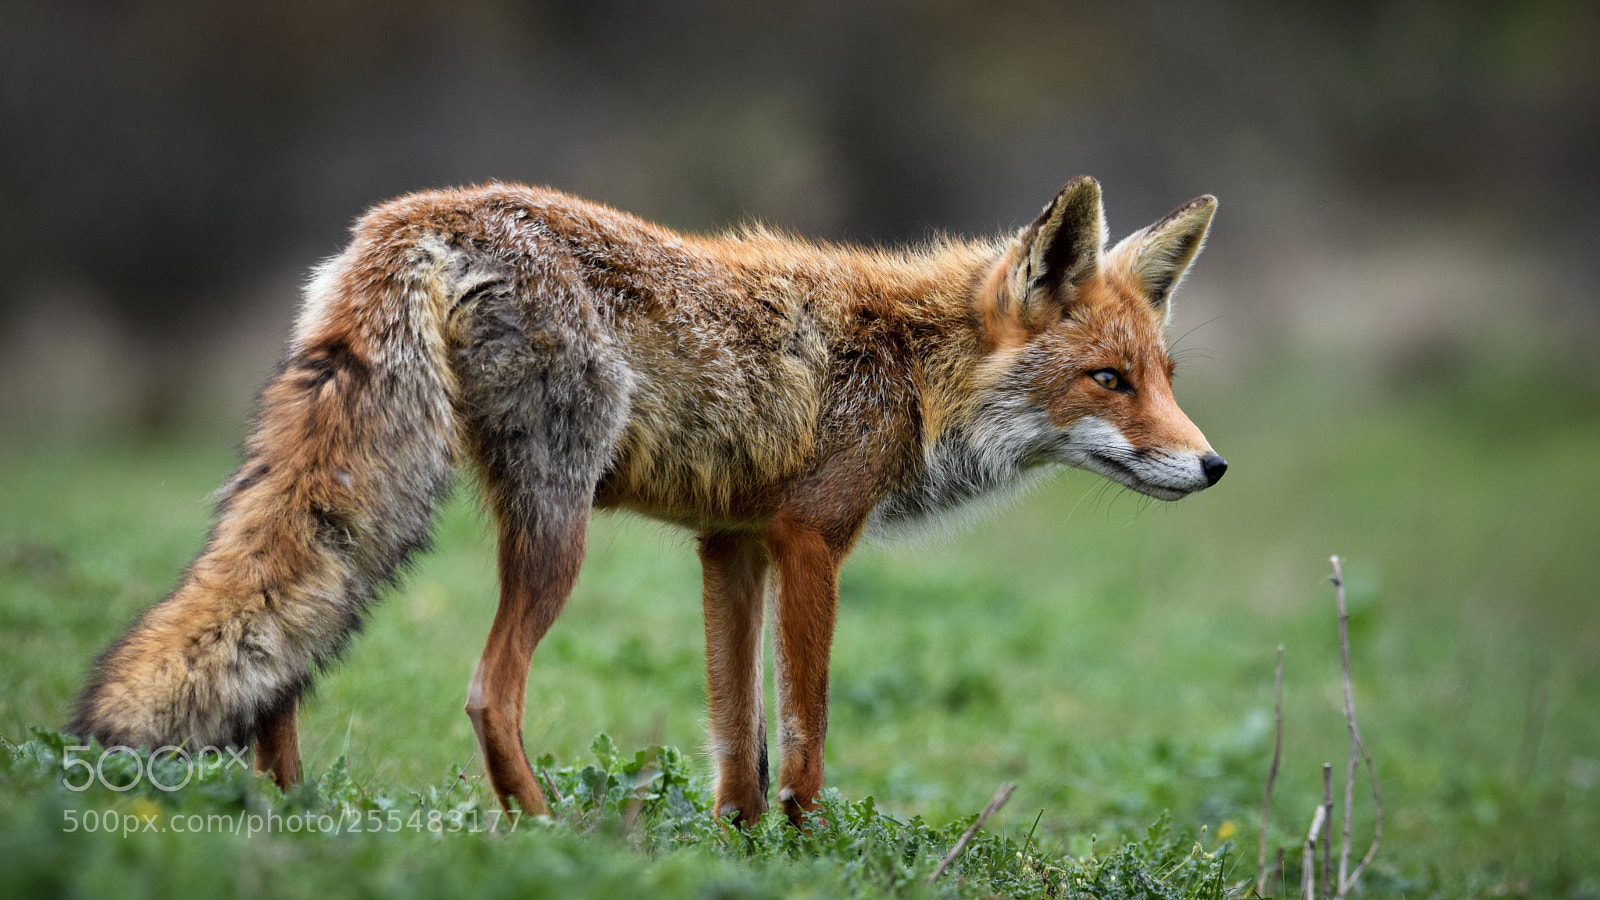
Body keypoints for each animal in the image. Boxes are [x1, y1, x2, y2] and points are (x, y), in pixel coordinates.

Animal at [69, 175, 1225, 827]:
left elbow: (737, 738)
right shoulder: (811, 539)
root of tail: (415, 218)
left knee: (286, 663)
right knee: (489, 692)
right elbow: (803, 733)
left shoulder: (732, 545)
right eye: (1109, 382)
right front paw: (807, 847)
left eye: (1165, 376)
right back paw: (543, 833)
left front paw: (741, 850)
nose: (1212, 467)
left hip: (387, 494)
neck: (910, 370)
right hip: (556, 525)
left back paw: (288, 814)